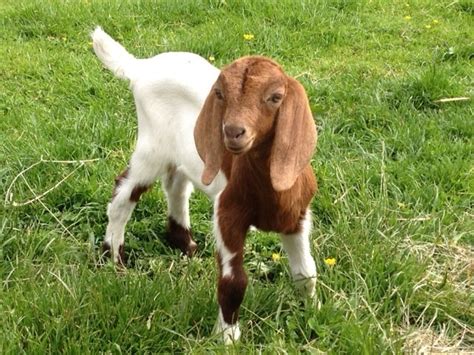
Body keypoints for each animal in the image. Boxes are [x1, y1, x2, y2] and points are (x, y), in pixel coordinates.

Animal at [193, 56, 318, 344]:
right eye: (219, 94)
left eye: (275, 97)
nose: (232, 131)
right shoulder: (228, 212)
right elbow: (233, 281)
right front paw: (227, 337)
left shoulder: (297, 216)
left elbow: (306, 272)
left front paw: (314, 311)